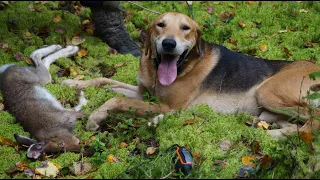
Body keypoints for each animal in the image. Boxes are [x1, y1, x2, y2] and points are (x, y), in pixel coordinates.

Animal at [62, 11, 320, 138]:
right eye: (160, 24)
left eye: (186, 28)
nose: (168, 44)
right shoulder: (143, 93)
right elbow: (105, 81)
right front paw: (73, 82)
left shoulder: (168, 107)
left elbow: (116, 99)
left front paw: (96, 117)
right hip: (270, 111)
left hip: (267, 91)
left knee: (314, 121)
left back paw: (271, 137)